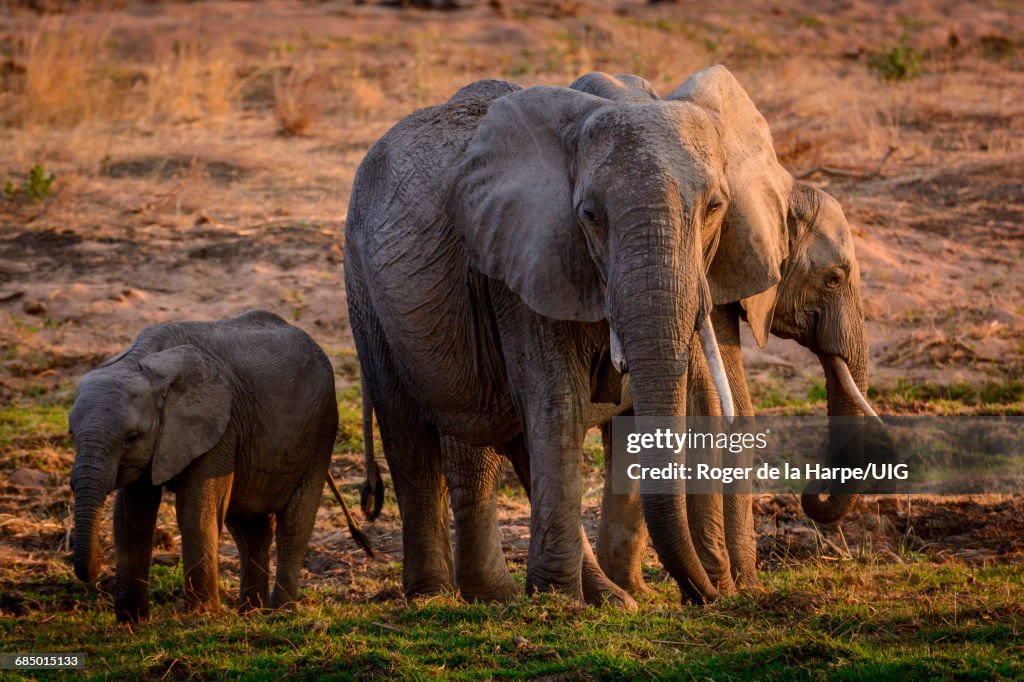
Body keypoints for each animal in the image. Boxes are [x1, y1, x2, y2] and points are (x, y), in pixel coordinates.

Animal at [68, 310, 339, 623]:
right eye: (72, 435)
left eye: (132, 437)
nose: (97, 567)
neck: (141, 360)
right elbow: (132, 515)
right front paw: (131, 621)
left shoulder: (220, 428)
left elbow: (195, 510)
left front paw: (201, 616)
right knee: (249, 527)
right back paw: (251, 613)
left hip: (320, 433)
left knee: (295, 522)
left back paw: (279, 613)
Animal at [344, 68, 792, 606]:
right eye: (590, 216)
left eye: (715, 207)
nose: (706, 595)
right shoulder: (524, 261)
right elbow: (559, 401)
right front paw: (559, 602)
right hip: (364, 289)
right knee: (410, 438)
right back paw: (438, 597)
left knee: (501, 442)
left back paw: (573, 596)